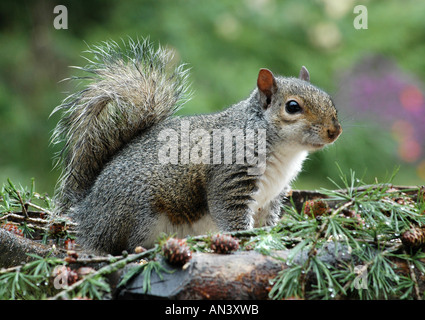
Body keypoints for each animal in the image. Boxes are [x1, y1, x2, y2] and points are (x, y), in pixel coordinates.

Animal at [50, 38, 342, 255]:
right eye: (292, 107)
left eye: (329, 99)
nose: (334, 131)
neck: (286, 152)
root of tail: (87, 209)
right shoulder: (230, 174)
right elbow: (232, 215)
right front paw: (245, 241)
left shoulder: (273, 196)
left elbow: (267, 222)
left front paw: (271, 239)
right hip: (137, 213)